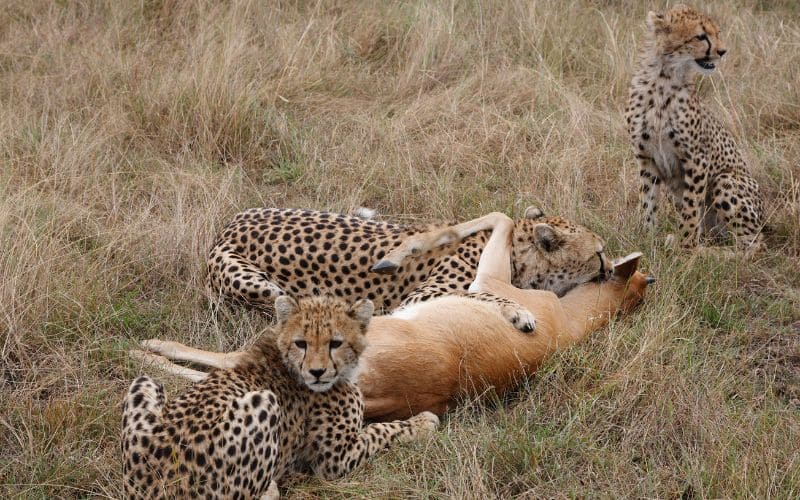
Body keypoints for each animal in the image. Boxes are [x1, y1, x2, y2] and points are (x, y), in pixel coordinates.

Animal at [121, 295, 438, 498]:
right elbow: (381, 430)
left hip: (144, 383)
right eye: (302, 342)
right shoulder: (336, 460)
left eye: (335, 343)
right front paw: (423, 422)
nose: (317, 372)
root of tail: (152, 484)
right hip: (264, 402)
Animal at [205, 206, 612, 331]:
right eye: (599, 254)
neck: (516, 255)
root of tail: (229, 223)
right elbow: (477, 294)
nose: (610, 270)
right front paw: (517, 311)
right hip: (266, 288)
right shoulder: (417, 299)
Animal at [625, 4, 765, 256]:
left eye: (717, 33)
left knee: (754, 245)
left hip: (726, 180)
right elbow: (648, 201)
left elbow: (691, 208)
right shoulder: (646, 157)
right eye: (701, 36)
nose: (722, 51)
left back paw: (711, 253)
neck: (663, 78)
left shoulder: (697, 158)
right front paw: (645, 238)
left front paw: (686, 250)